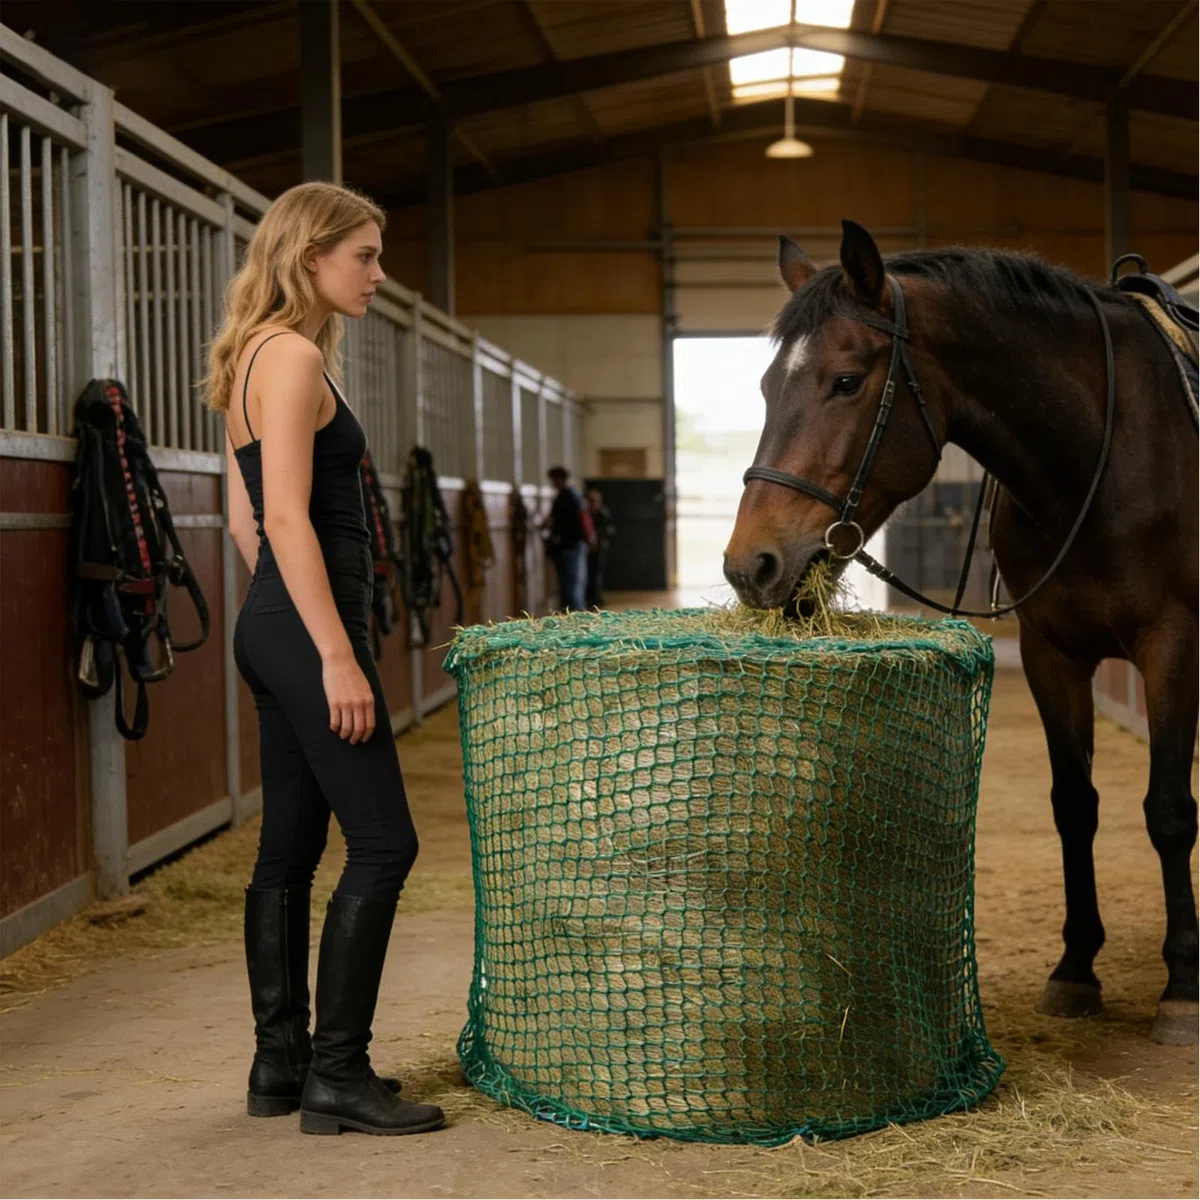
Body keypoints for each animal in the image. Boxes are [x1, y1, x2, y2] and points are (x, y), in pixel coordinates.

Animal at [723, 220, 1198, 1046]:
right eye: (766, 388)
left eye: (846, 381)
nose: (751, 565)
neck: (1104, 451)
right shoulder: (1051, 652)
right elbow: (1074, 806)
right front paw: (1076, 969)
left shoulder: (1172, 644)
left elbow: (1168, 811)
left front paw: (1183, 985)